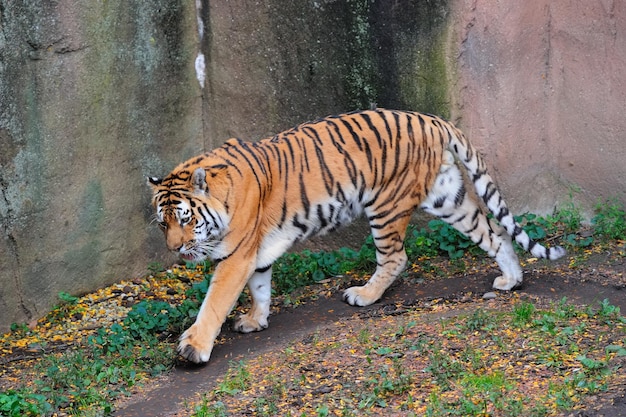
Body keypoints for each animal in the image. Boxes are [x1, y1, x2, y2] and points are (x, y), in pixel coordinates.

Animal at [149, 109, 564, 362]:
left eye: (186, 219)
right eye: (163, 223)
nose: (176, 250)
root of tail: (432, 119)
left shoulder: (236, 254)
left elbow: (215, 301)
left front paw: (194, 347)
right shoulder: (257, 251)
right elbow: (260, 287)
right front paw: (256, 320)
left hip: (385, 205)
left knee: (396, 257)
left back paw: (363, 295)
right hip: (448, 198)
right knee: (494, 232)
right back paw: (512, 278)